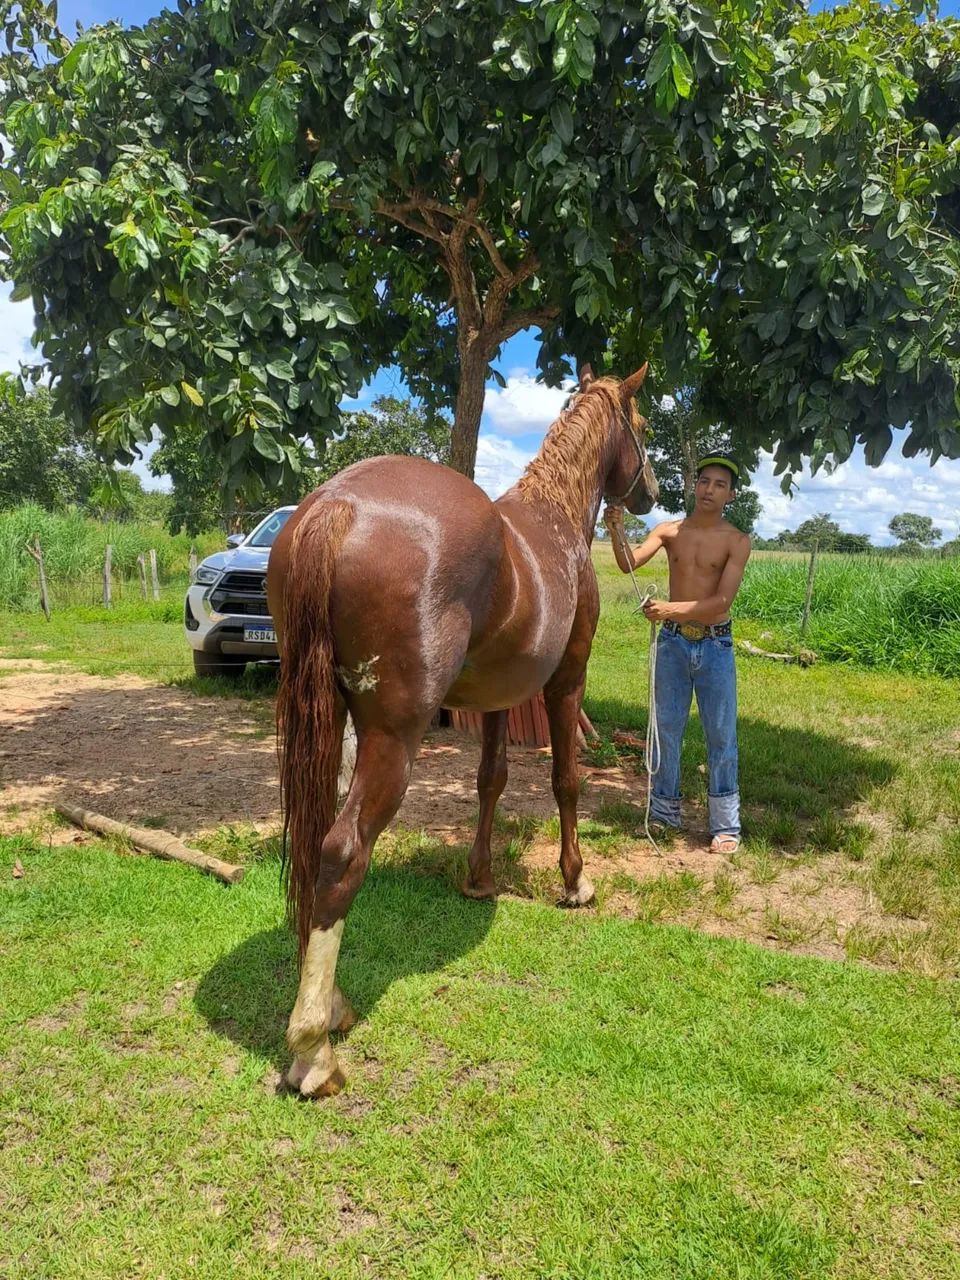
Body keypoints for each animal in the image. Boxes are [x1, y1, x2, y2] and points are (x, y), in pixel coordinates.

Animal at [266, 363, 659, 1097]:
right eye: (642, 424)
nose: (650, 490)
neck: (555, 519)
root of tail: (337, 506)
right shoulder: (564, 682)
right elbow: (565, 782)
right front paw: (575, 882)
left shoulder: (500, 697)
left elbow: (491, 781)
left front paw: (479, 877)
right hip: (392, 740)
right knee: (340, 852)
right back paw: (314, 1050)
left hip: (329, 724)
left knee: (308, 846)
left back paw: (330, 1007)